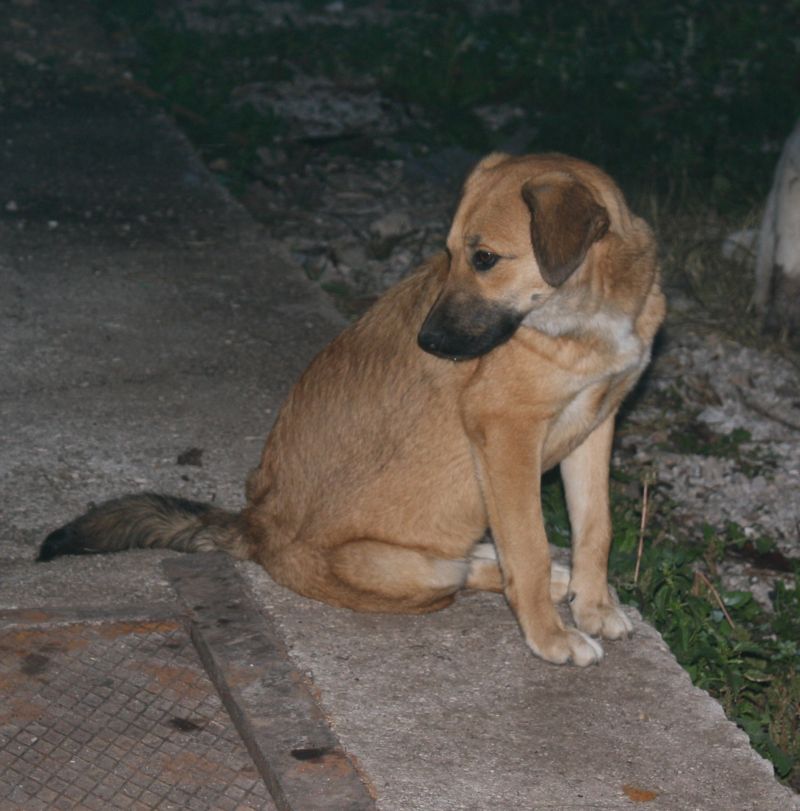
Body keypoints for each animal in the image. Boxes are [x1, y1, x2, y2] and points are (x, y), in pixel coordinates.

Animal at [39, 152, 664, 668]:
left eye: (485, 258)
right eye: (449, 255)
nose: (427, 343)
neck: (586, 315)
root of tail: (254, 529)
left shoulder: (596, 425)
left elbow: (595, 527)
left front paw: (591, 604)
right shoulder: (507, 432)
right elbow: (528, 549)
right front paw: (551, 636)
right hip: (416, 573)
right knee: (466, 571)